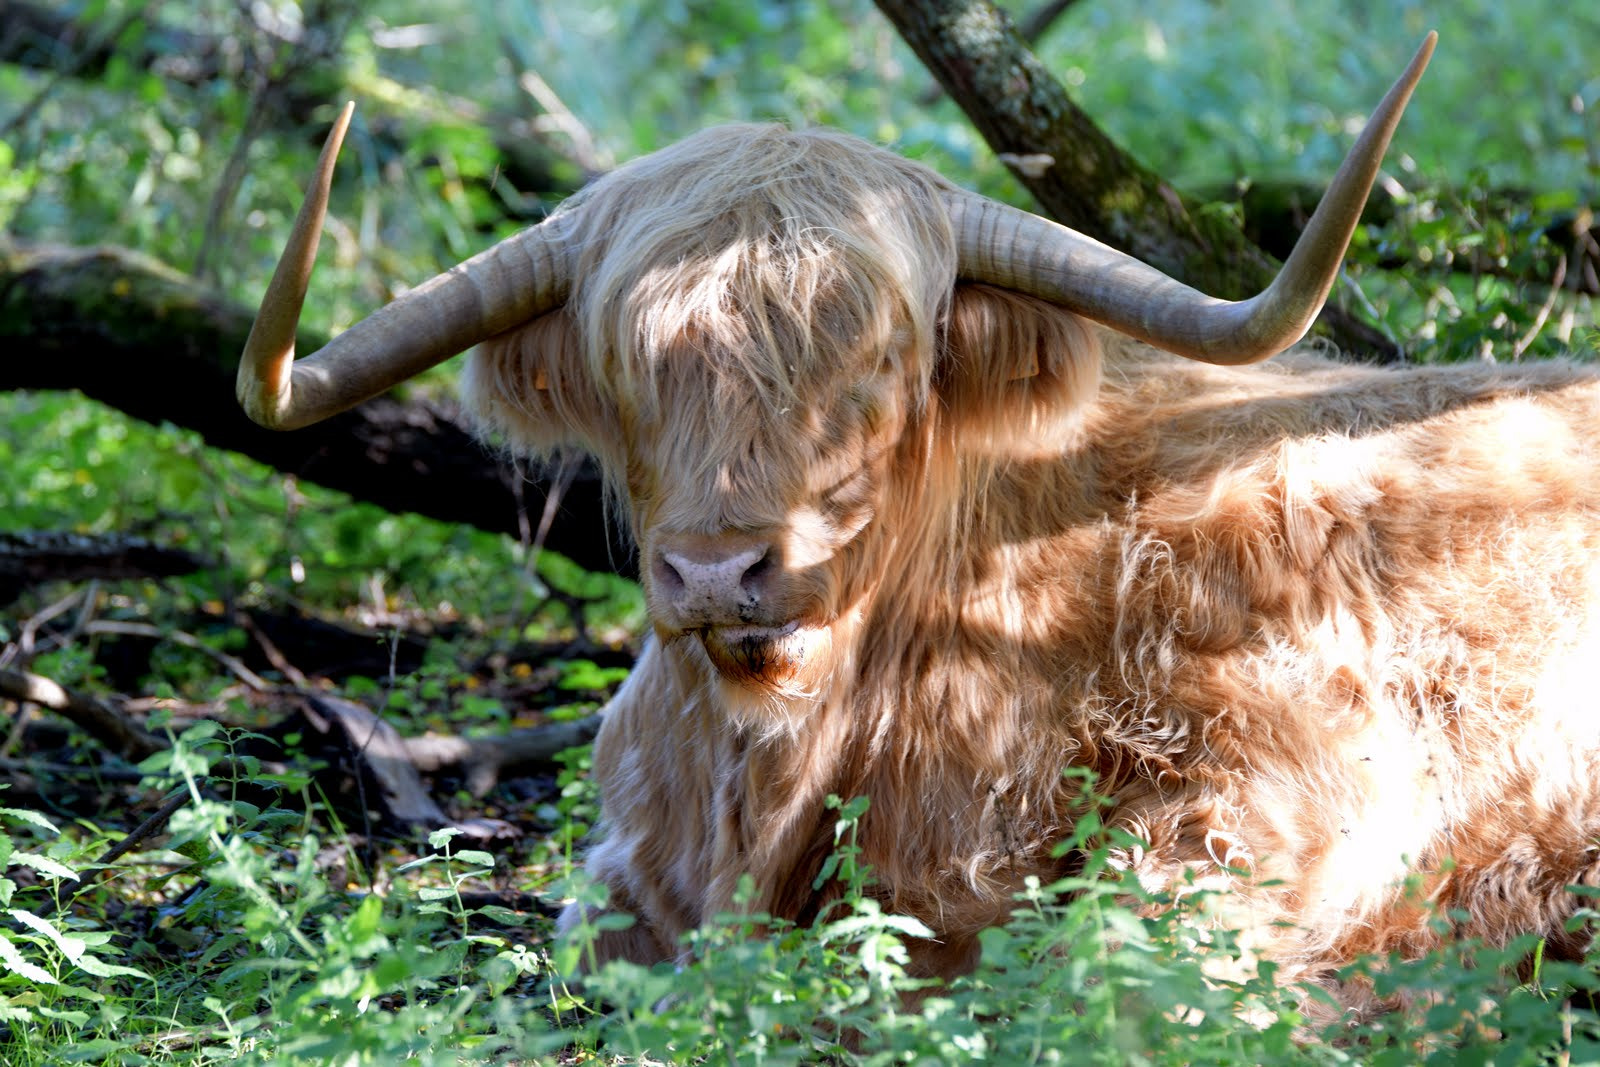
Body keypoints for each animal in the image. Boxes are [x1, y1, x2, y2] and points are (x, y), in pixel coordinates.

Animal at [236, 33, 1600, 1011]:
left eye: (879, 356)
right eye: (625, 362)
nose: (716, 569)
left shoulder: (1279, 798)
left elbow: (1116, 977)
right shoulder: (623, 886)